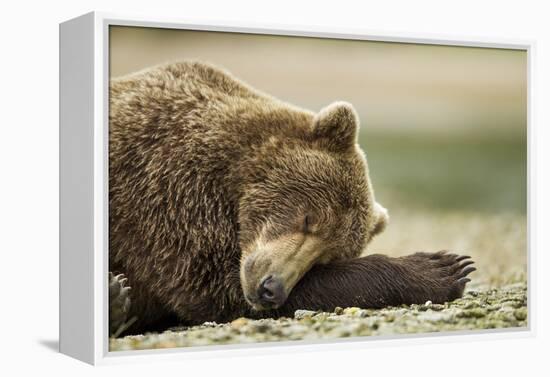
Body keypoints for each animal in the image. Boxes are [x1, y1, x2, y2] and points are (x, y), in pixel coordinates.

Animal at [110, 61, 476, 334]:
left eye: (325, 256)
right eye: (309, 218)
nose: (271, 289)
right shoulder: (168, 193)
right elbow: (209, 285)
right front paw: (442, 268)